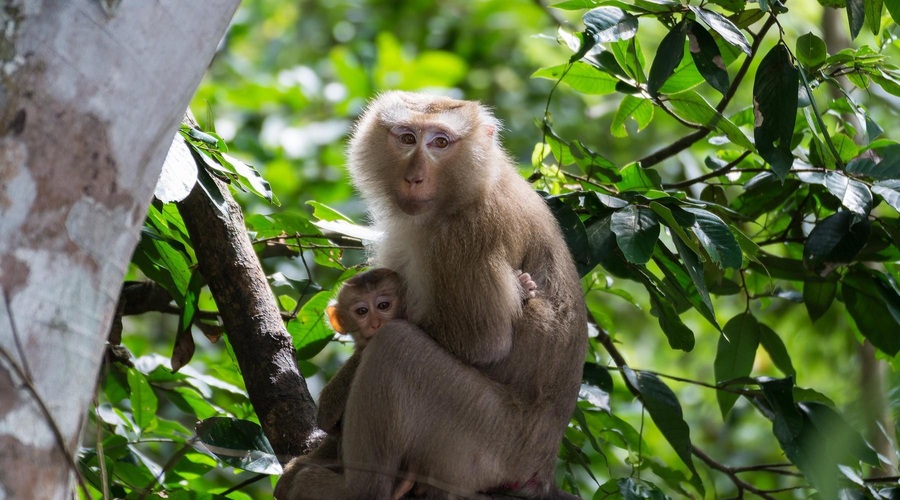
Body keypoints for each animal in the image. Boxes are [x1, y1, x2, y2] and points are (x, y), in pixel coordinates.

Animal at [276, 92, 584, 498]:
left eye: (440, 143)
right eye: (408, 138)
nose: (414, 176)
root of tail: (543, 470)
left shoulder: (467, 235)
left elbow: (481, 343)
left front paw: (332, 400)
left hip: (486, 439)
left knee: (396, 347)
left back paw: (359, 490)